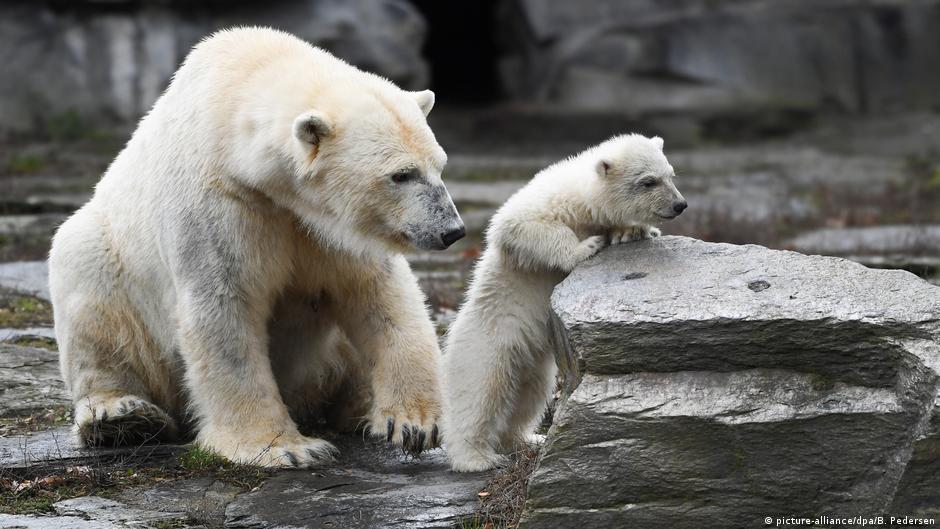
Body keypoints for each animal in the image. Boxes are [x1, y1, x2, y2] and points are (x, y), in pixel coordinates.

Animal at [48, 27, 465, 468]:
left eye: (439, 165)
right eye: (401, 174)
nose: (452, 230)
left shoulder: (329, 227)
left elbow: (378, 294)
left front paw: (416, 423)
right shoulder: (219, 203)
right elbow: (226, 310)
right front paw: (284, 448)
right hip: (109, 261)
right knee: (93, 303)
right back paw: (123, 417)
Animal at [441, 134, 686, 472]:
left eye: (671, 175)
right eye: (648, 181)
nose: (680, 205)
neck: (585, 202)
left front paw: (632, 231)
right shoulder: (544, 206)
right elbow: (521, 225)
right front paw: (586, 247)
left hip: (532, 359)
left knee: (529, 396)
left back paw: (527, 439)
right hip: (488, 342)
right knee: (480, 393)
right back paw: (477, 457)